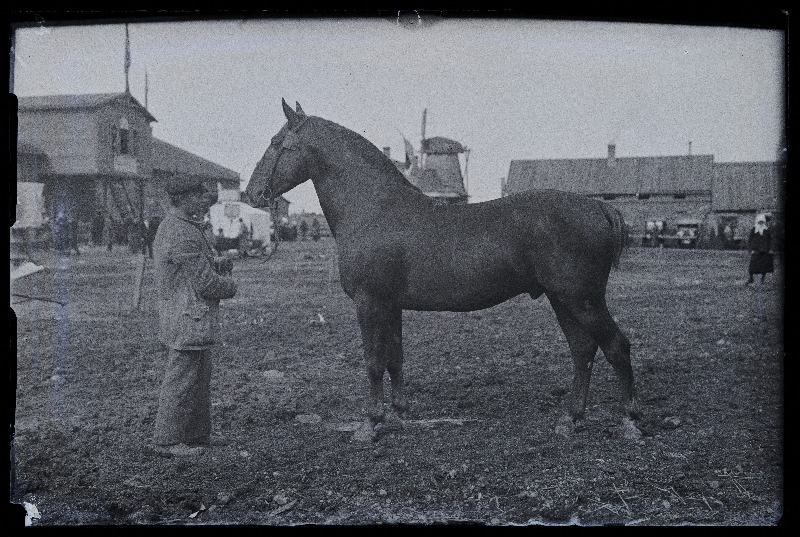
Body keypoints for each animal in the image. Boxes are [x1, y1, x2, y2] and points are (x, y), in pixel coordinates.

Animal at [247, 99, 640, 436]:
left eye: (276, 143)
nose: (252, 194)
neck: (374, 209)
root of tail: (599, 207)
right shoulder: (390, 305)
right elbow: (395, 357)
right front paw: (401, 412)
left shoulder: (369, 303)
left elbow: (374, 361)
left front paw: (372, 422)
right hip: (563, 300)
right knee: (583, 351)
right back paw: (571, 419)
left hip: (582, 299)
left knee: (616, 346)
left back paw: (629, 421)